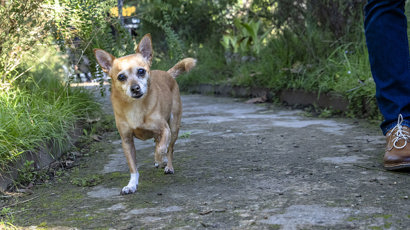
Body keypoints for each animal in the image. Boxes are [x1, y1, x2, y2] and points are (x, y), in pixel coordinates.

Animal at [93, 33, 196, 194]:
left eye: (141, 71)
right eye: (121, 77)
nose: (135, 88)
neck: (135, 106)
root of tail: (167, 73)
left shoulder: (165, 129)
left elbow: (161, 149)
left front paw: (160, 159)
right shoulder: (127, 141)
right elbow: (133, 167)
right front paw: (131, 185)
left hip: (174, 127)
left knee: (170, 148)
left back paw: (167, 165)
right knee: (158, 142)